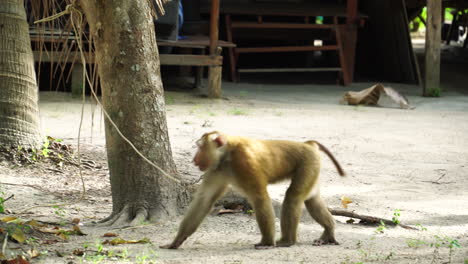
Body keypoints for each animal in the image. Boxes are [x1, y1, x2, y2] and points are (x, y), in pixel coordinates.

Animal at [159, 131, 346, 250]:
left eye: (200, 147)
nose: (194, 159)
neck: (227, 155)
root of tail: (308, 145)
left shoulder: (244, 162)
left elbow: (259, 197)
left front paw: (267, 242)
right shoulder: (216, 169)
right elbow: (204, 200)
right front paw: (177, 240)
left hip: (308, 163)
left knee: (293, 196)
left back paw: (287, 241)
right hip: (312, 166)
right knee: (311, 199)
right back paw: (329, 230)